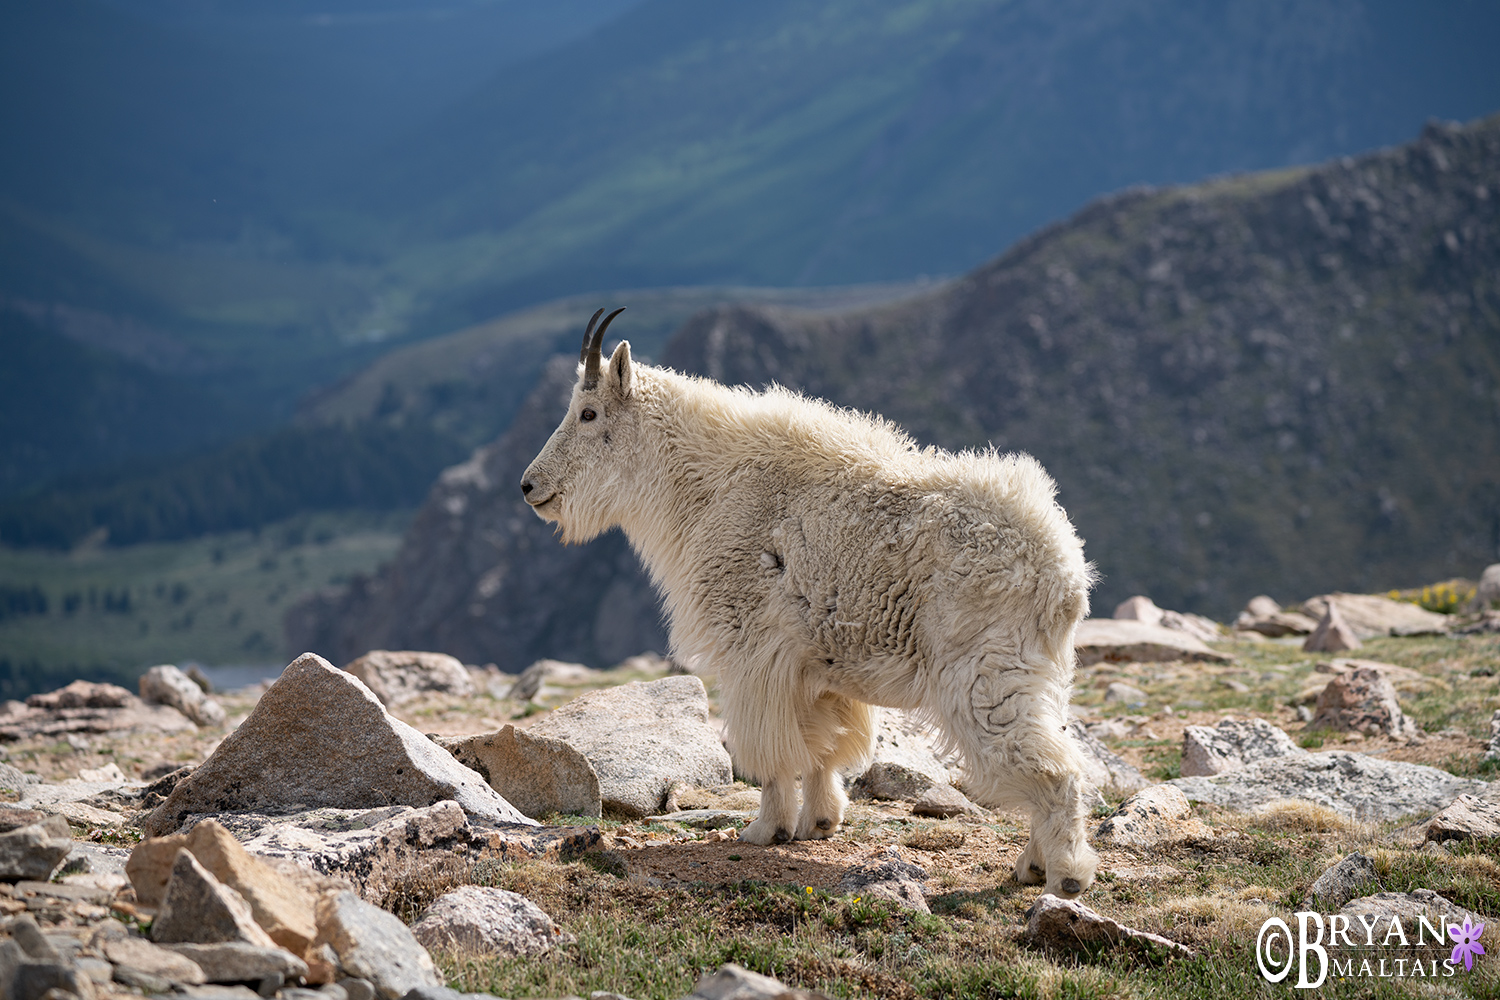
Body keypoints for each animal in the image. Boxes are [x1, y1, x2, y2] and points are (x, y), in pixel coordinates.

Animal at [519, 307, 1104, 899]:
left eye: (588, 412)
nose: (529, 486)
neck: (703, 485)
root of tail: (1064, 573)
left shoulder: (752, 652)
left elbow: (774, 751)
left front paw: (764, 830)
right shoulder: (816, 667)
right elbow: (825, 746)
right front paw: (818, 823)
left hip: (986, 674)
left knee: (1053, 769)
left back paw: (1064, 875)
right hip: (1037, 674)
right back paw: (1031, 865)